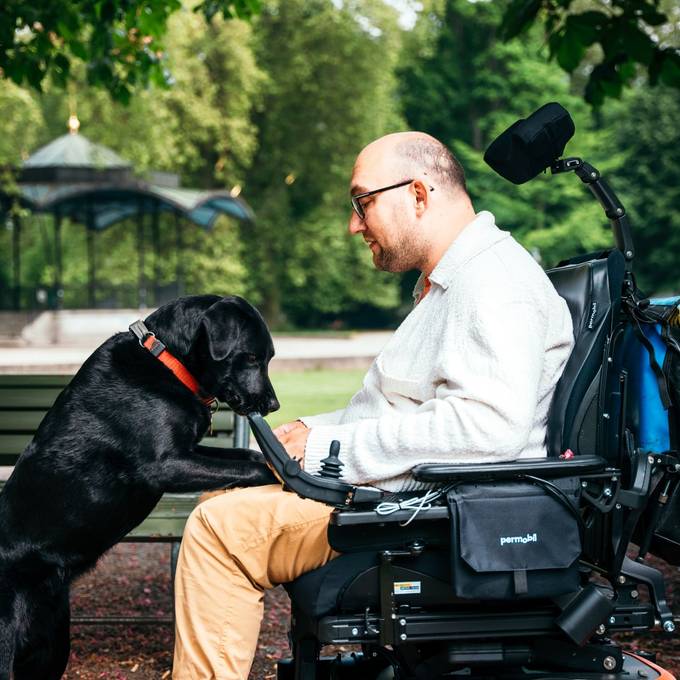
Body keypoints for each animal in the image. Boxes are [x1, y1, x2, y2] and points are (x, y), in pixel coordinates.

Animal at [0, 294, 278, 680]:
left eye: (268, 357)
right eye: (251, 357)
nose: (274, 405)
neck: (166, 360)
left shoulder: (190, 451)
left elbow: (245, 455)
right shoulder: (165, 465)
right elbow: (251, 467)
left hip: (51, 645)